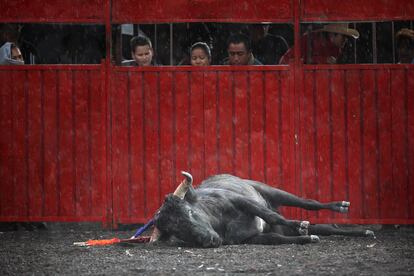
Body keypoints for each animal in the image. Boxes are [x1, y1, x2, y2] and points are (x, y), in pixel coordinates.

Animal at [153, 171, 376, 247]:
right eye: (176, 230)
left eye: (190, 212)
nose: (208, 240)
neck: (220, 224)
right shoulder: (251, 238)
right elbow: (276, 239)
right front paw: (306, 238)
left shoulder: (242, 201)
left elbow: (269, 215)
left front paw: (300, 225)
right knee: (327, 228)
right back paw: (364, 231)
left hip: (273, 191)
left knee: (308, 203)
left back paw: (339, 206)